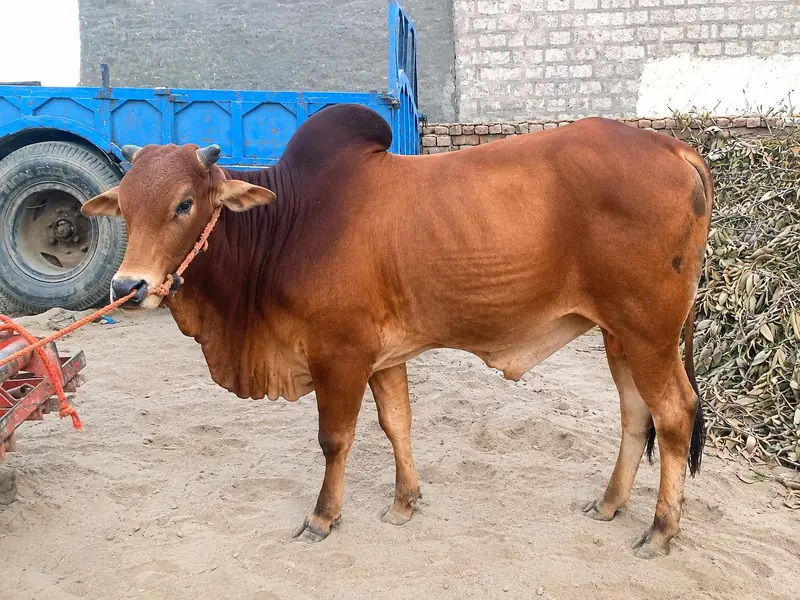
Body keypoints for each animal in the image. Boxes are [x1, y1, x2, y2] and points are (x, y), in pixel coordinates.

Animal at [81, 104, 712, 558]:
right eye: (125, 207)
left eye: (185, 203)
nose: (129, 287)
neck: (288, 222)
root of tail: (676, 147)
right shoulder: (383, 357)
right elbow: (396, 424)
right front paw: (406, 502)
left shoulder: (339, 354)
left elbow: (335, 439)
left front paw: (323, 517)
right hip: (618, 333)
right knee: (636, 414)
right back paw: (608, 505)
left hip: (649, 331)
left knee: (675, 414)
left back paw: (661, 531)